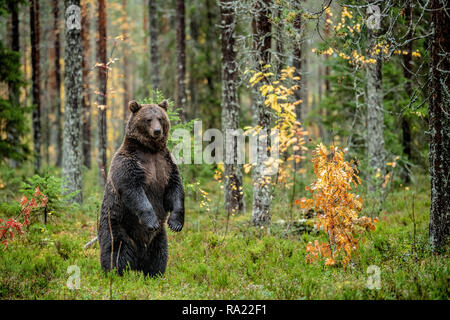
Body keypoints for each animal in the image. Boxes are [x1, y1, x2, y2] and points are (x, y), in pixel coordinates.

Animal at [97, 100, 184, 278]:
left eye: (160, 118)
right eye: (148, 119)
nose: (157, 131)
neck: (150, 150)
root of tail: (138, 259)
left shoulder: (167, 165)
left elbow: (175, 190)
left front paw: (176, 223)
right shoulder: (129, 164)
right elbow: (134, 191)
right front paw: (152, 221)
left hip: (158, 239)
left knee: (159, 254)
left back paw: (154, 274)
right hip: (117, 226)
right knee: (117, 251)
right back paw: (116, 273)